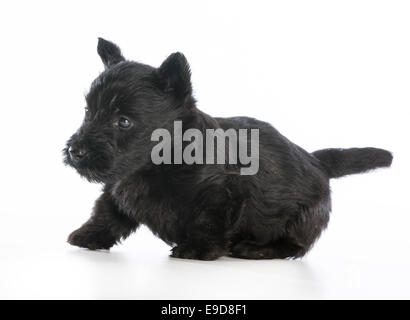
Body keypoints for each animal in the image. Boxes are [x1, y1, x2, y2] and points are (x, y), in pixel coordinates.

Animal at [63, 38, 390, 260]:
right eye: (88, 111)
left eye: (124, 121)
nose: (76, 151)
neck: (155, 164)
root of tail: (315, 160)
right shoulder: (119, 187)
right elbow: (106, 212)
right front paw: (88, 235)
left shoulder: (223, 195)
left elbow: (209, 222)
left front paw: (197, 249)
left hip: (303, 218)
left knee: (294, 245)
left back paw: (255, 248)